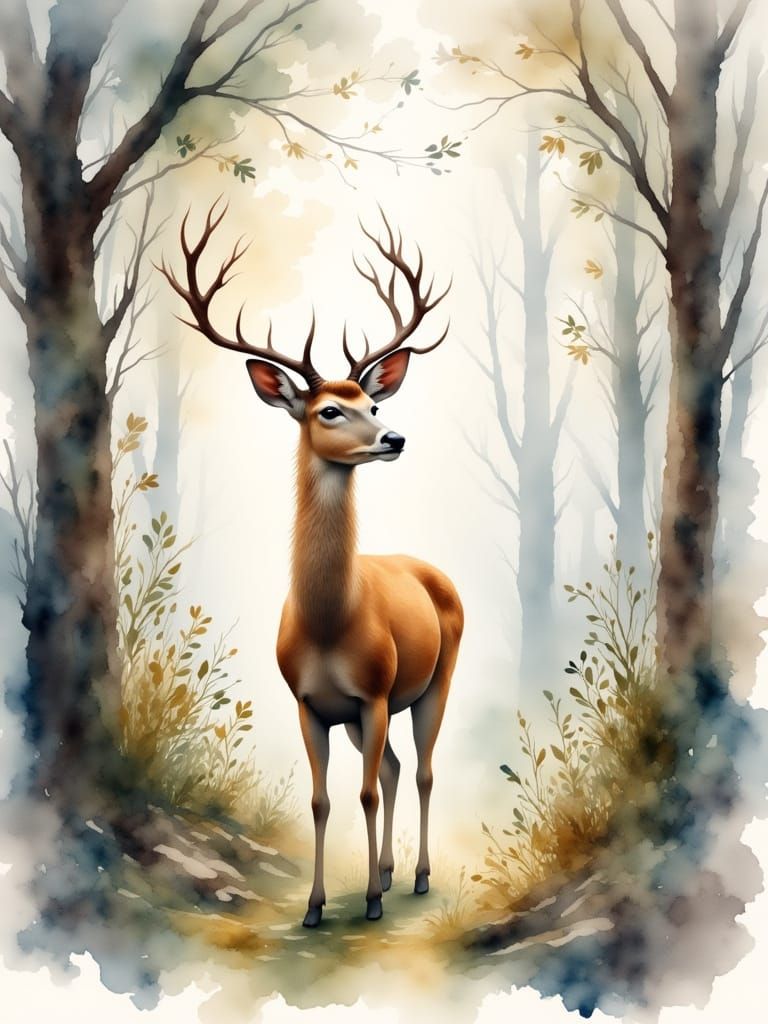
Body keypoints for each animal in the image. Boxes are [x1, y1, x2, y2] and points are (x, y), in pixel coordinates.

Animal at [159, 201, 463, 927]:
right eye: (329, 409)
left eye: (373, 403)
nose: (395, 436)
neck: (330, 624)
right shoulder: (311, 703)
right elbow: (324, 800)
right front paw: (317, 906)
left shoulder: (375, 692)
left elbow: (363, 795)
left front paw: (371, 901)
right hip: (364, 717)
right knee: (395, 769)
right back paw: (388, 871)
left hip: (434, 681)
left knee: (422, 770)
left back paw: (414, 877)